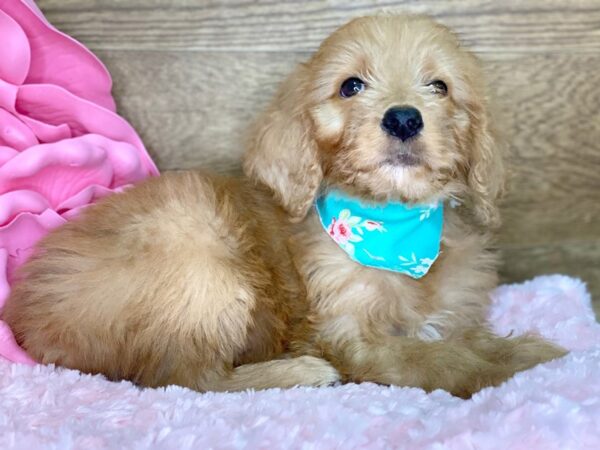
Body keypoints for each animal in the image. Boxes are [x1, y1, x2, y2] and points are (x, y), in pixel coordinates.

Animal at [4, 15, 564, 400]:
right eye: (351, 86)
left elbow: (462, 339)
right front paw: (533, 357)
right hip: (199, 262)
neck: (396, 227)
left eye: (440, 86)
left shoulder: (450, 314)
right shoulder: (348, 333)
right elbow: (436, 359)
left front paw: (514, 349)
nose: (404, 118)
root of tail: (26, 314)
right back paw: (299, 373)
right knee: (184, 379)